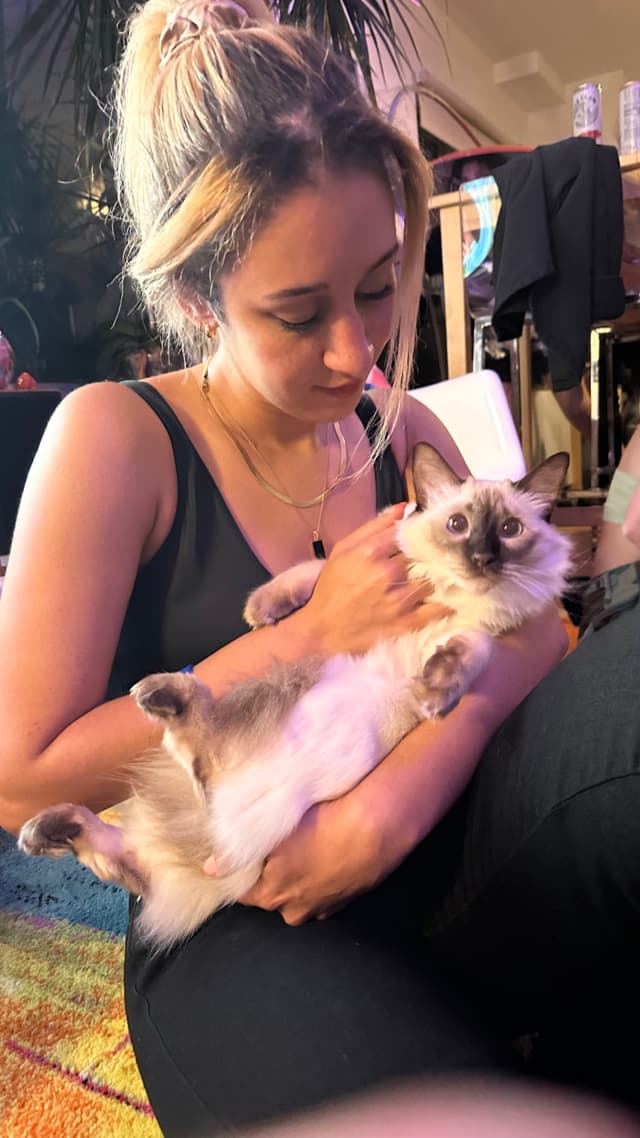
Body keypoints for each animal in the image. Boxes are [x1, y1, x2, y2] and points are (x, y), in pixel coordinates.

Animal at [18, 443, 567, 951]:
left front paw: (436, 690)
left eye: (510, 531)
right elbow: (313, 568)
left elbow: (469, 648)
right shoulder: (367, 554)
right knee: (177, 776)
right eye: (457, 524)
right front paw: (263, 611)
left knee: (146, 831)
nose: (482, 558)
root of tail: (216, 835)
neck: (451, 590)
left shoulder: (492, 632)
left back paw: (60, 818)